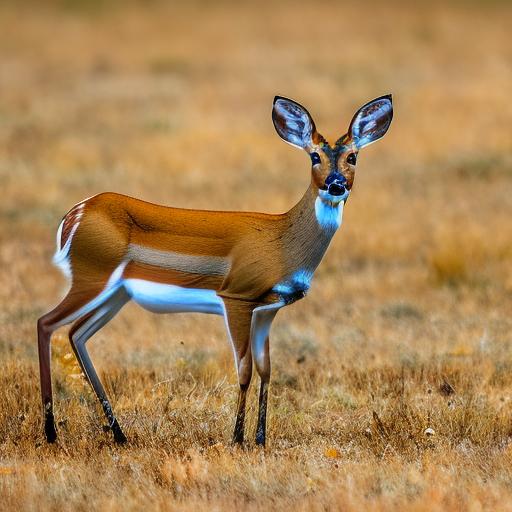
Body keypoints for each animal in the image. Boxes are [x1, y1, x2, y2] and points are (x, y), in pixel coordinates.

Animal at [38, 94, 394, 446]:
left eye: (353, 156)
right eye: (314, 156)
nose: (336, 185)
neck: (282, 243)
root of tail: (74, 215)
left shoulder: (268, 309)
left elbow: (266, 368)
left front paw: (260, 439)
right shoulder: (237, 296)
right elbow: (244, 368)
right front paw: (236, 438)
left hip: (117, 293)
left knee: (76, 333)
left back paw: (119, 434)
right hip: (92, 275)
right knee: (46, 323)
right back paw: (51, 432)